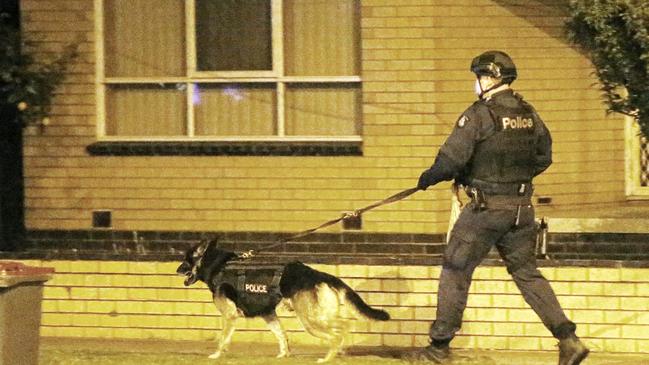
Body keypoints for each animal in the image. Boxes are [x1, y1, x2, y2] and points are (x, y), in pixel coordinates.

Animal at [177, 239, 388, 362]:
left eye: (185, 260)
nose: (177, 270)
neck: (218, 266)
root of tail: (315, 274)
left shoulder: (230, 316)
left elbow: (222, 338)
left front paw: (217, 355)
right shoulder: (269, 314)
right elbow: (281, 335)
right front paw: (284, 354)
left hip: (310, 320)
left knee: (337, 334)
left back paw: (328, 358)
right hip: (320, 316)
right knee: (344, 326)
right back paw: (340, 351)